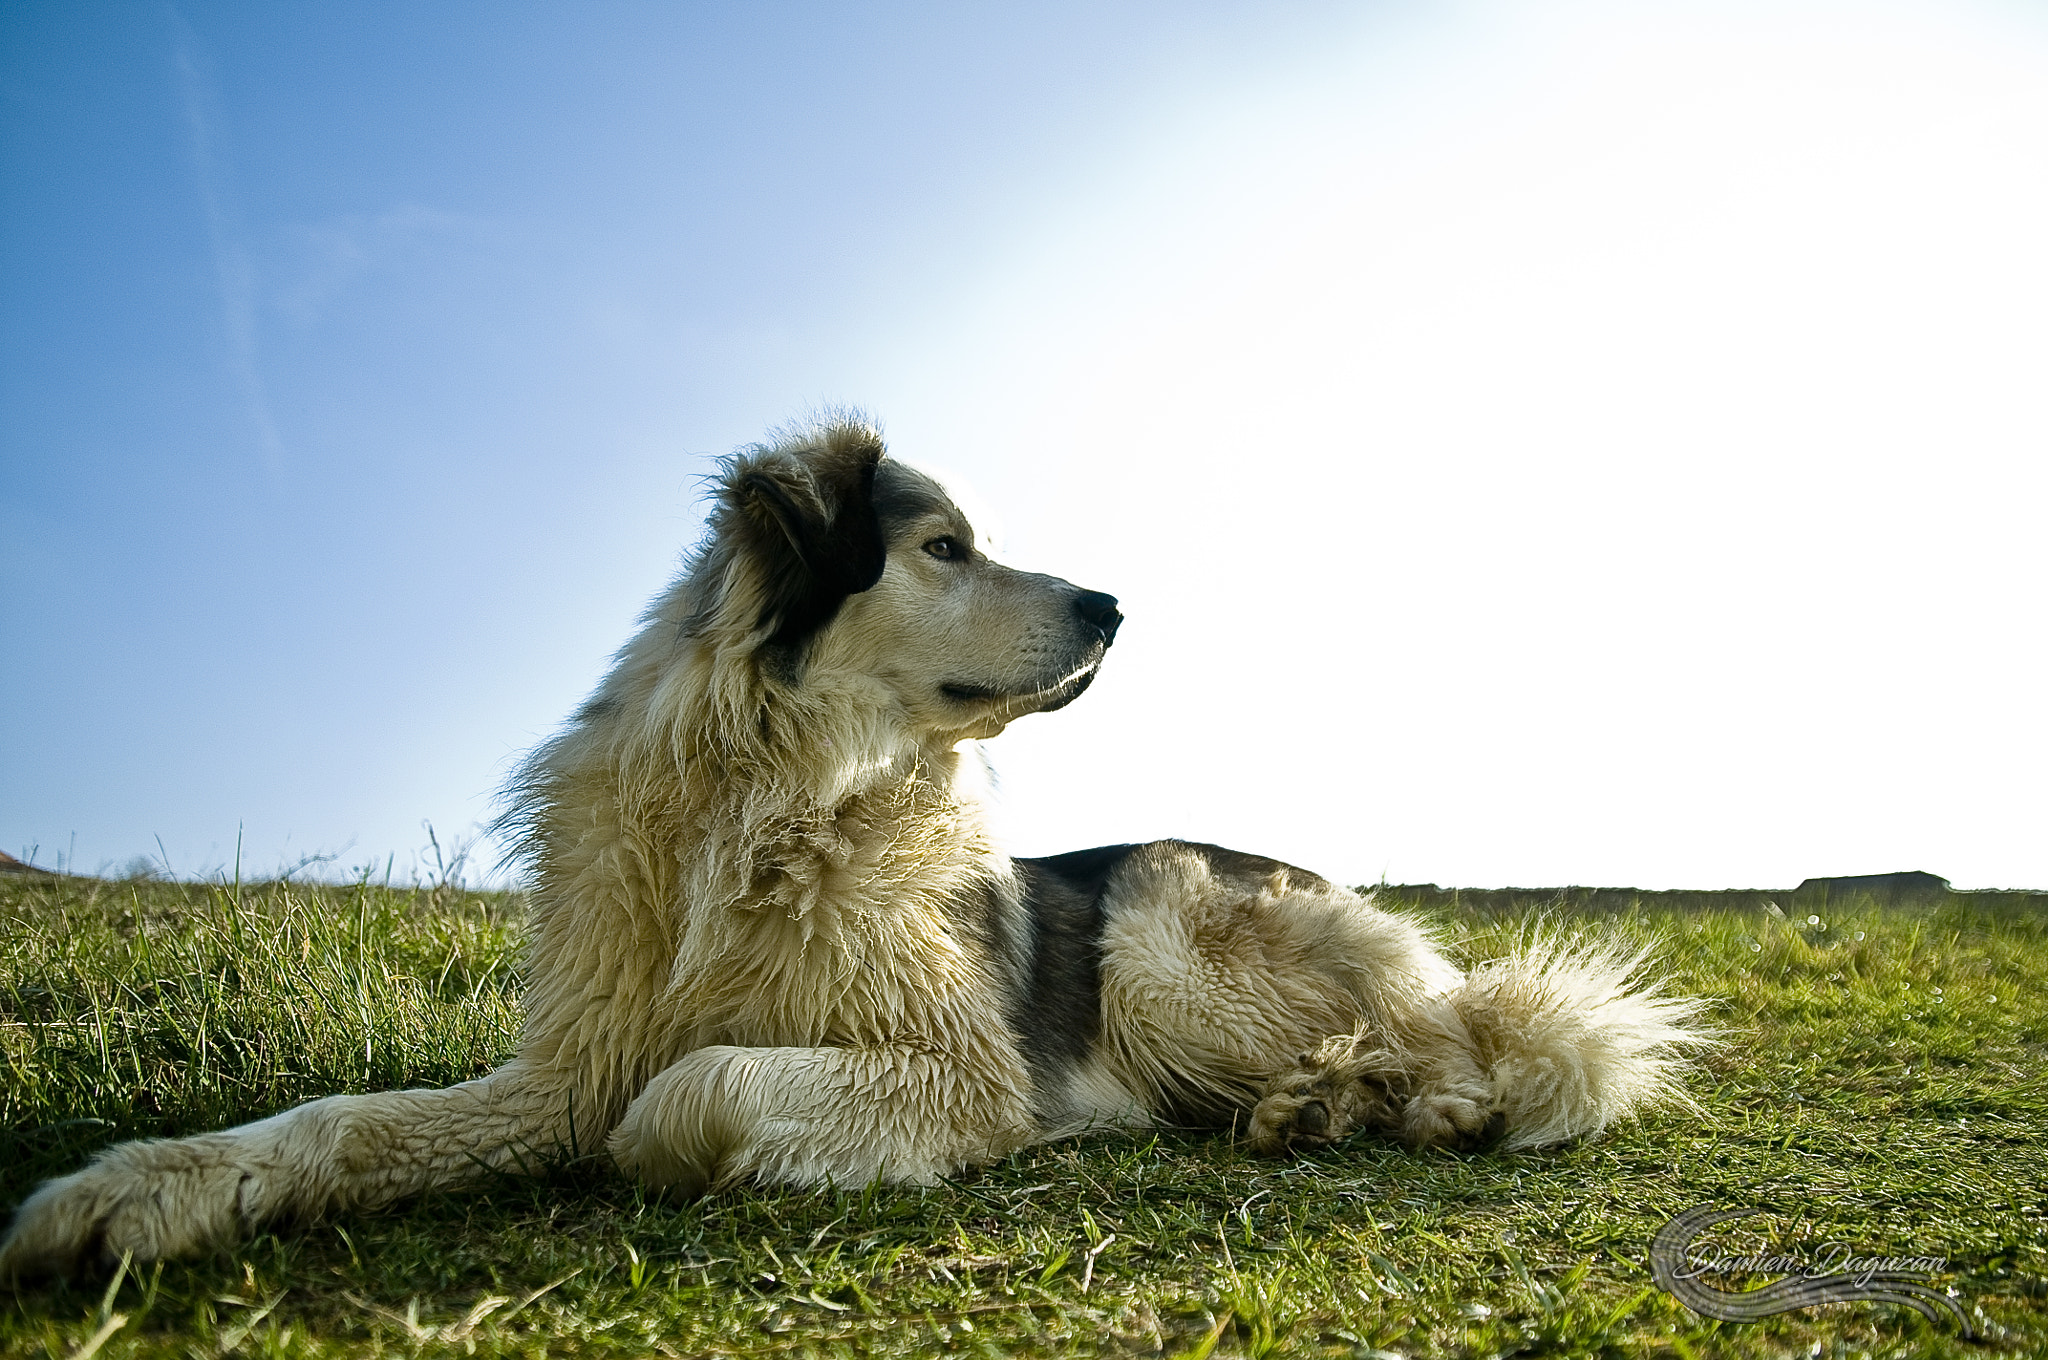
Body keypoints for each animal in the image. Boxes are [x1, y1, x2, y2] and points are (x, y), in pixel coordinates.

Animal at [0, 413, 1712, 1278]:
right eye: (944, 546)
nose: (1114, 604)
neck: (773, 801)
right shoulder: (562, 1056)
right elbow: (350, 1122)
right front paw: (141, 1193)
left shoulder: (948, 1064)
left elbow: (691, 1089)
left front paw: (667, 1147)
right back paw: (1314, 1105)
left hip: (1165, 938)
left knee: (1478, 1042)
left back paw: (1377, 1102)